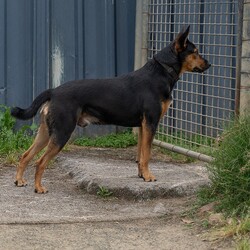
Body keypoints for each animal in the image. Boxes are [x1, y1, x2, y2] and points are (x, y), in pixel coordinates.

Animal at [11, 25, 211, 193]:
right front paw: (148, 177)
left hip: (46, 132)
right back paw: (39, 188)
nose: (209, 64)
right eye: (195, 52)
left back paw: (19, 181)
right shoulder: (151, 122)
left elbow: (140, 154)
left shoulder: (142, 126)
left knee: (25, 156)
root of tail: (53, 91)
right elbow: (147, 154)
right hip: (62, 132)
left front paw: (141, 175)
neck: (161, 71)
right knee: (40, 162)